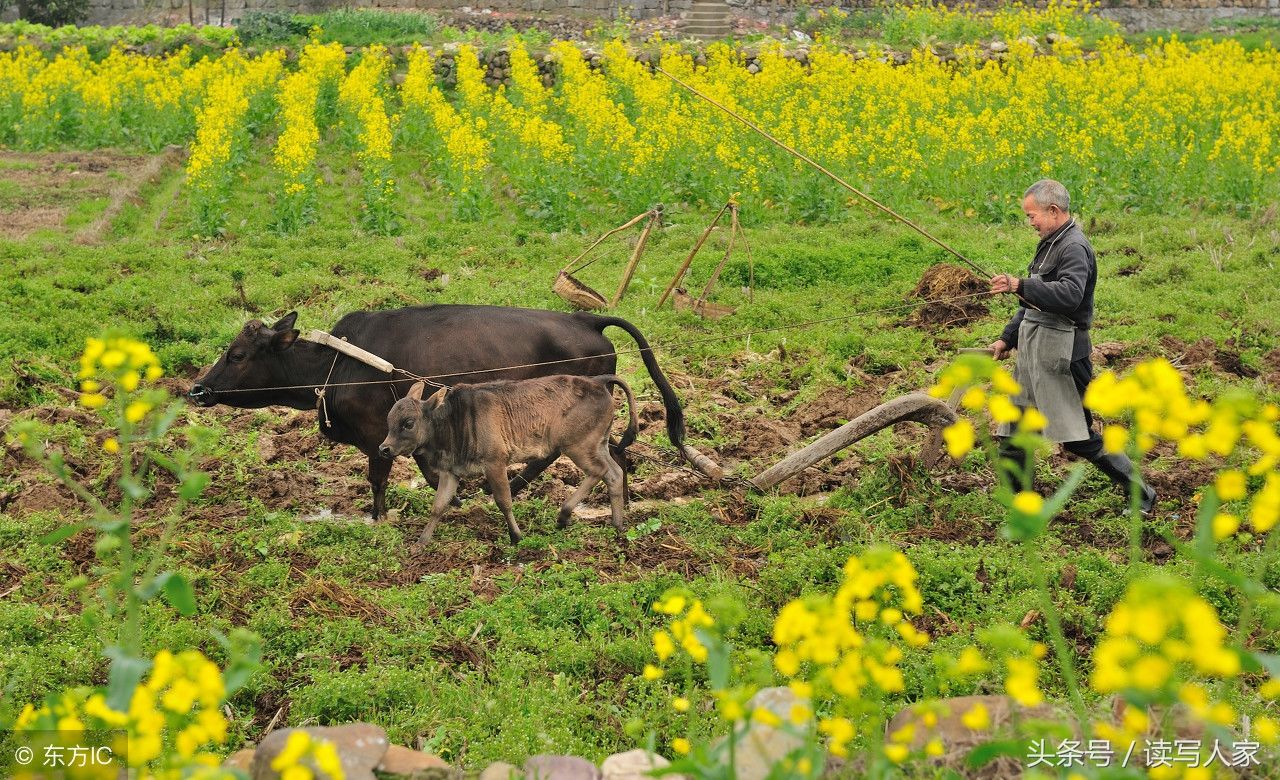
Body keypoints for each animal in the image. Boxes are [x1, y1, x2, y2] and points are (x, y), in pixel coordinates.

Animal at [378, 373, 640, 545]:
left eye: (408, 423)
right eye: (389, 419)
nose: (384, 449)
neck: (454, 421)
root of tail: (598, 382)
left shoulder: (495, 463)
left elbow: (504, 501)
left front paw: (516, 536)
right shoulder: (450, 472)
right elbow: (438, 506)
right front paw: (421, 542)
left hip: (577, 446)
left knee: (598, 471)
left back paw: (564, 515)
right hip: (598, 445)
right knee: (614, 474)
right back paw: (617, 525)